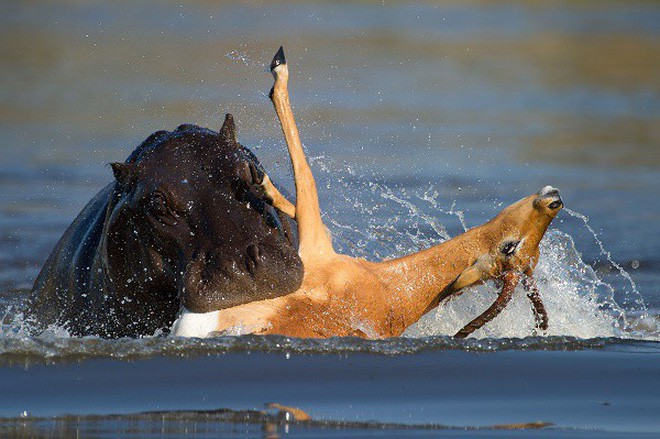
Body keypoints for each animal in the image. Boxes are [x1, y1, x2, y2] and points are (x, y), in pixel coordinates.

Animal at [170, 48, 564, 340]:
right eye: (520, 251)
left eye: (509, 247)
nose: (553, 201)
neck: (384, 287)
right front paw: (265, 186)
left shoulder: (314, 244)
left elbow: (307, 179)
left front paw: (278, 69)